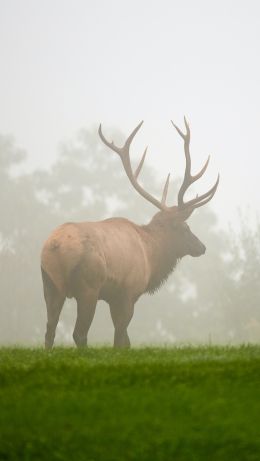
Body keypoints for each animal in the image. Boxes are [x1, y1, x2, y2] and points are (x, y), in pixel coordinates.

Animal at [41, 118, 219, 348]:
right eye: (185, 228)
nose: (202, 247)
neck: (151, 256)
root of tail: (54, 247)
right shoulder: (128, 292)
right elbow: (120, 339)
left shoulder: (115, 297)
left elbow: (125, 340)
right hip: (88, 286)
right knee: (79, 333)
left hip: (49, 284)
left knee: (49, 331)